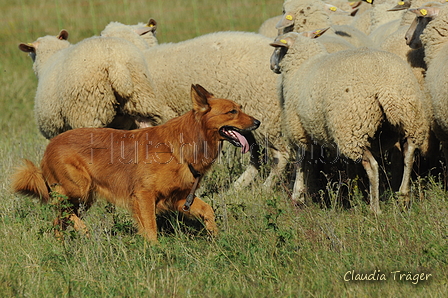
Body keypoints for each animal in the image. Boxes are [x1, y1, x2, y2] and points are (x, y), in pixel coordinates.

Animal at [12, 84, 260, 242]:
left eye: (240, 108)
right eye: (232, 111)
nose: (258, 122)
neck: (180, 147)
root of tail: (50, 146)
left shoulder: (179, 198)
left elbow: (208, 210)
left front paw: (216, 237)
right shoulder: (143, 195)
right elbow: (150, 229)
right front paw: (156, 252)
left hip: (85, 197)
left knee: (59, 219)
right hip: (79, 189)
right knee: (58, 208)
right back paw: (82, 231)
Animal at [270, 32, 430, 214]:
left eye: (277, 48)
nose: (272, 65)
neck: (302, 64)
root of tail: (385, 85)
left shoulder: (299, 130)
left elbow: (301, 162)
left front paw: (297, 196)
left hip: (352, 129)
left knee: (372, 165)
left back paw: (375, 208)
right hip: (410, 117)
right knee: (409, 153)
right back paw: (403, 196)